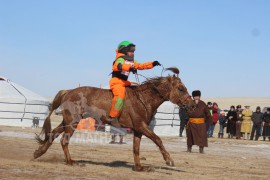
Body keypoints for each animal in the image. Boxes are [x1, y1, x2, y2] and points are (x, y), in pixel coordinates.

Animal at [34, 67, 194, 171]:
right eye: (181, 88)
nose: (192, 104)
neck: (143, 99)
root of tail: (68, 92)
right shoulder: (141, 126)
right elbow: (158, 140)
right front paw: (169, 160)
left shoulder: (138, 129)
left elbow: (136, 148)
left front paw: (139, 167)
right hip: (72, 123)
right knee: (63, 140)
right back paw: (70, 161)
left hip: (67, 121)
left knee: (54, 133)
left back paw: (39, 152)